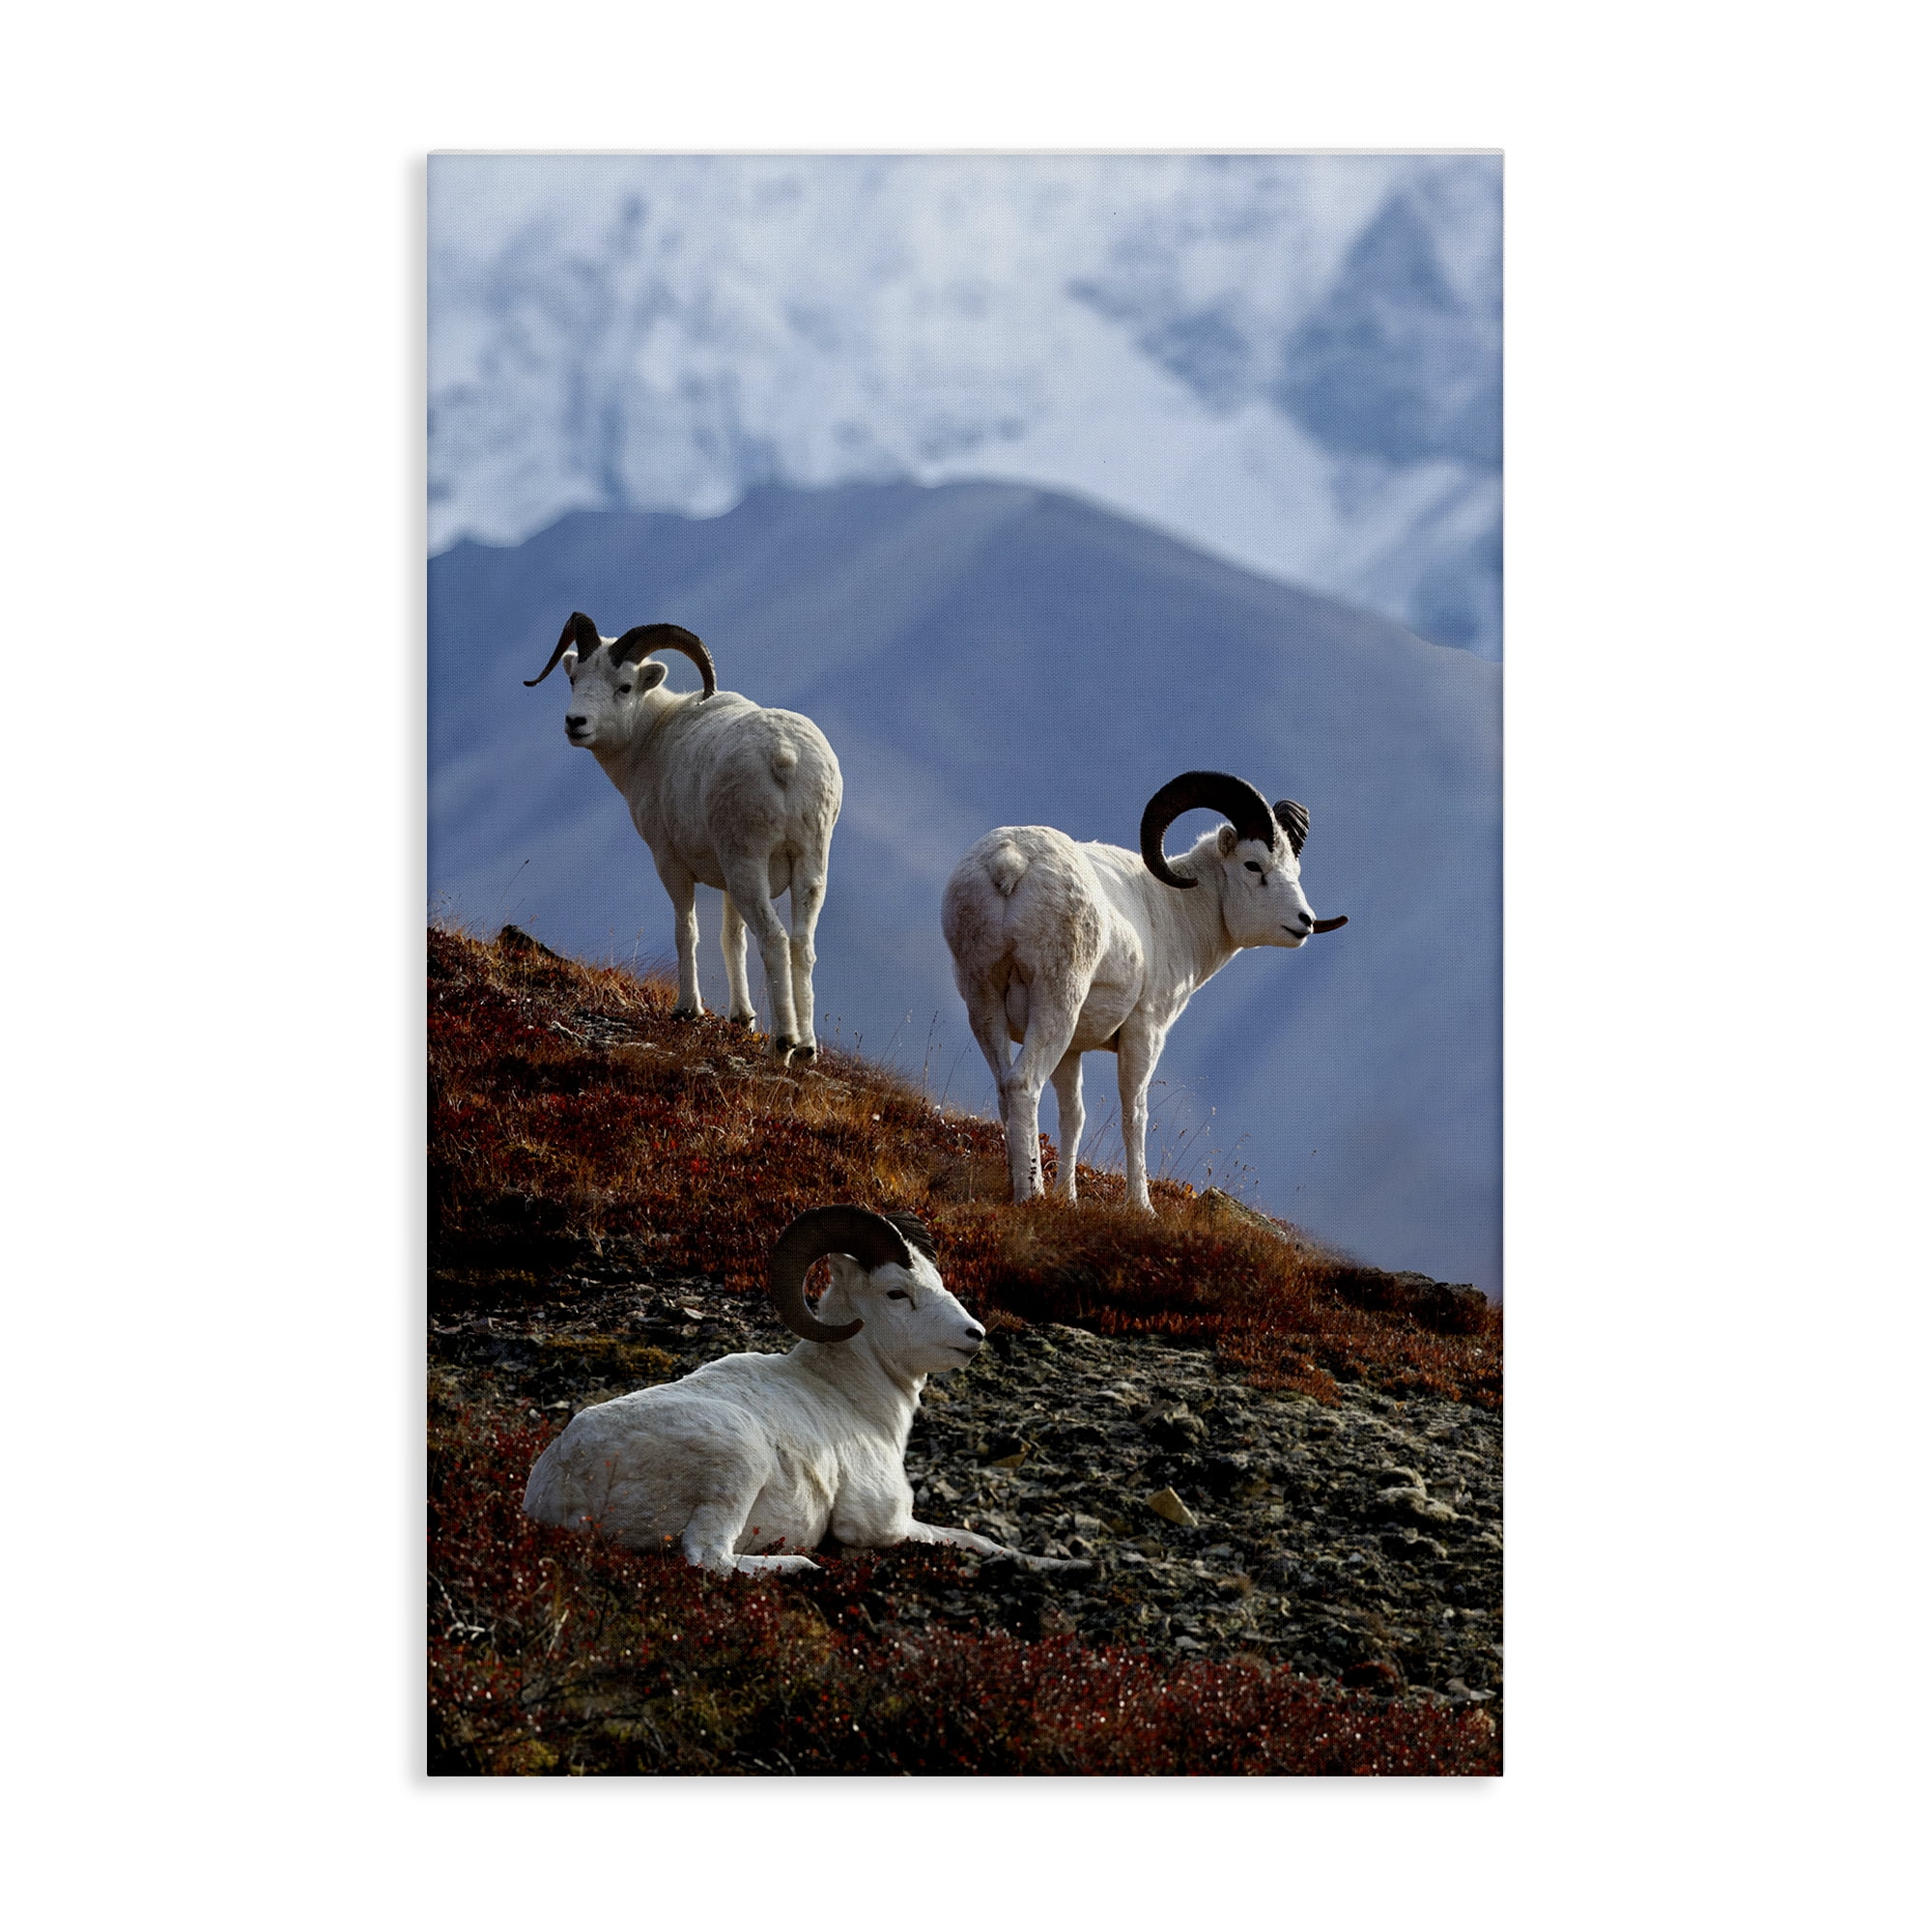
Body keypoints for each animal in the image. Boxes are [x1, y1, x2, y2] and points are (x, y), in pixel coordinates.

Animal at [523, 1207, 1080, 1576]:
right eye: (896, 1293)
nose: (974, 1334)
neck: (854, 1399)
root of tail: (567, 1485)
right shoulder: (884, 1524)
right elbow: (975, 1538)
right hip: (738, 1462)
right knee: (709, 1559)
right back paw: (800, 1564)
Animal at [525, 613, 841, 1063]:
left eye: (624, 686)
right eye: (574, 678)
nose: (576, 724)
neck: (651, 740)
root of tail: (785, 756)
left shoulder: (671, 864)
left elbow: (686, 931)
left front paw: (687, 1010)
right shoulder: (726, 882)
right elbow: (732, 940)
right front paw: (741, 1018)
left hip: (748, 866)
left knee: (775, 939)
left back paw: (782, 1046)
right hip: (808, 867)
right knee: (801, 944)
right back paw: (806, 1049)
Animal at [941, 770, 1347, 1210]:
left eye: (1295, 869)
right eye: (1253, 865)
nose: (1304, 921)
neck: (1178, 911)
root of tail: (1012, 862)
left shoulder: (1073, 1051)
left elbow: (1073, 1116)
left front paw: (1070, 1199)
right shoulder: (1145, 1031)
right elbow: (1134, 1115)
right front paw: (1141, 1206)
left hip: (983, 1001)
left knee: (1005, 1087)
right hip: (1056, 1003)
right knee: (1023, 1084)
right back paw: (1031, 1194)